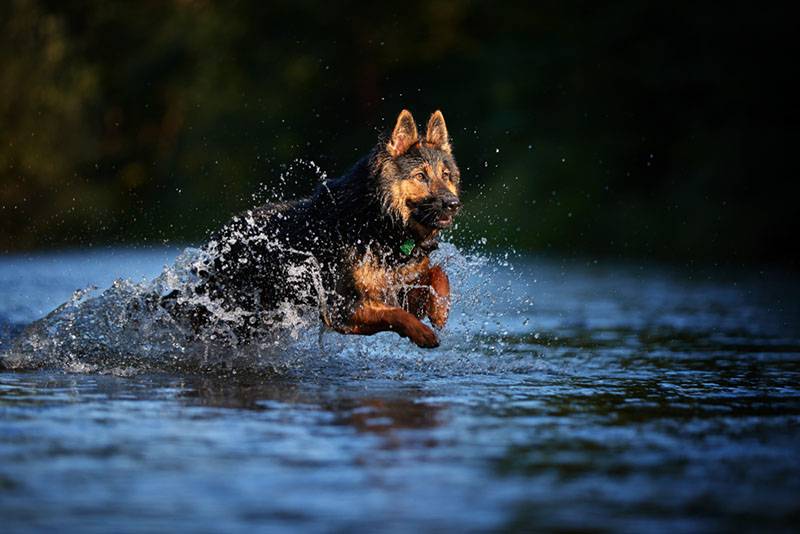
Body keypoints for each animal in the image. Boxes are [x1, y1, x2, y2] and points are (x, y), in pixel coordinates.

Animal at [162, 110, 460, 350]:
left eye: (446, 176)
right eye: (420, 176)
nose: (453, 204)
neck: (380, 222)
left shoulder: (401, 288)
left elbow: (437, 274)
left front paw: (441, 310)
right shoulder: (342, 309)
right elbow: (396, 315)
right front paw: (423, 333)